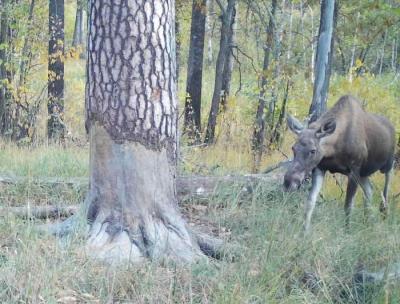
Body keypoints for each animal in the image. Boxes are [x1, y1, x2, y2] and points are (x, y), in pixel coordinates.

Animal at [282, 95, 396, 230]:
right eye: (293, 148)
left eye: (313, 150)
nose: (289, 182)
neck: (334, 149)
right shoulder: (320, 168)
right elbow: (310, 202)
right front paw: (305, 230)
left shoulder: (354, 170)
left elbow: (348, 206)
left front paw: (347, 230)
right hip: (364, 173)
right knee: (369, 189)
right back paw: (366, 223)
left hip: (387, 164)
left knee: (386, 187)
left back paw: (382, 213)